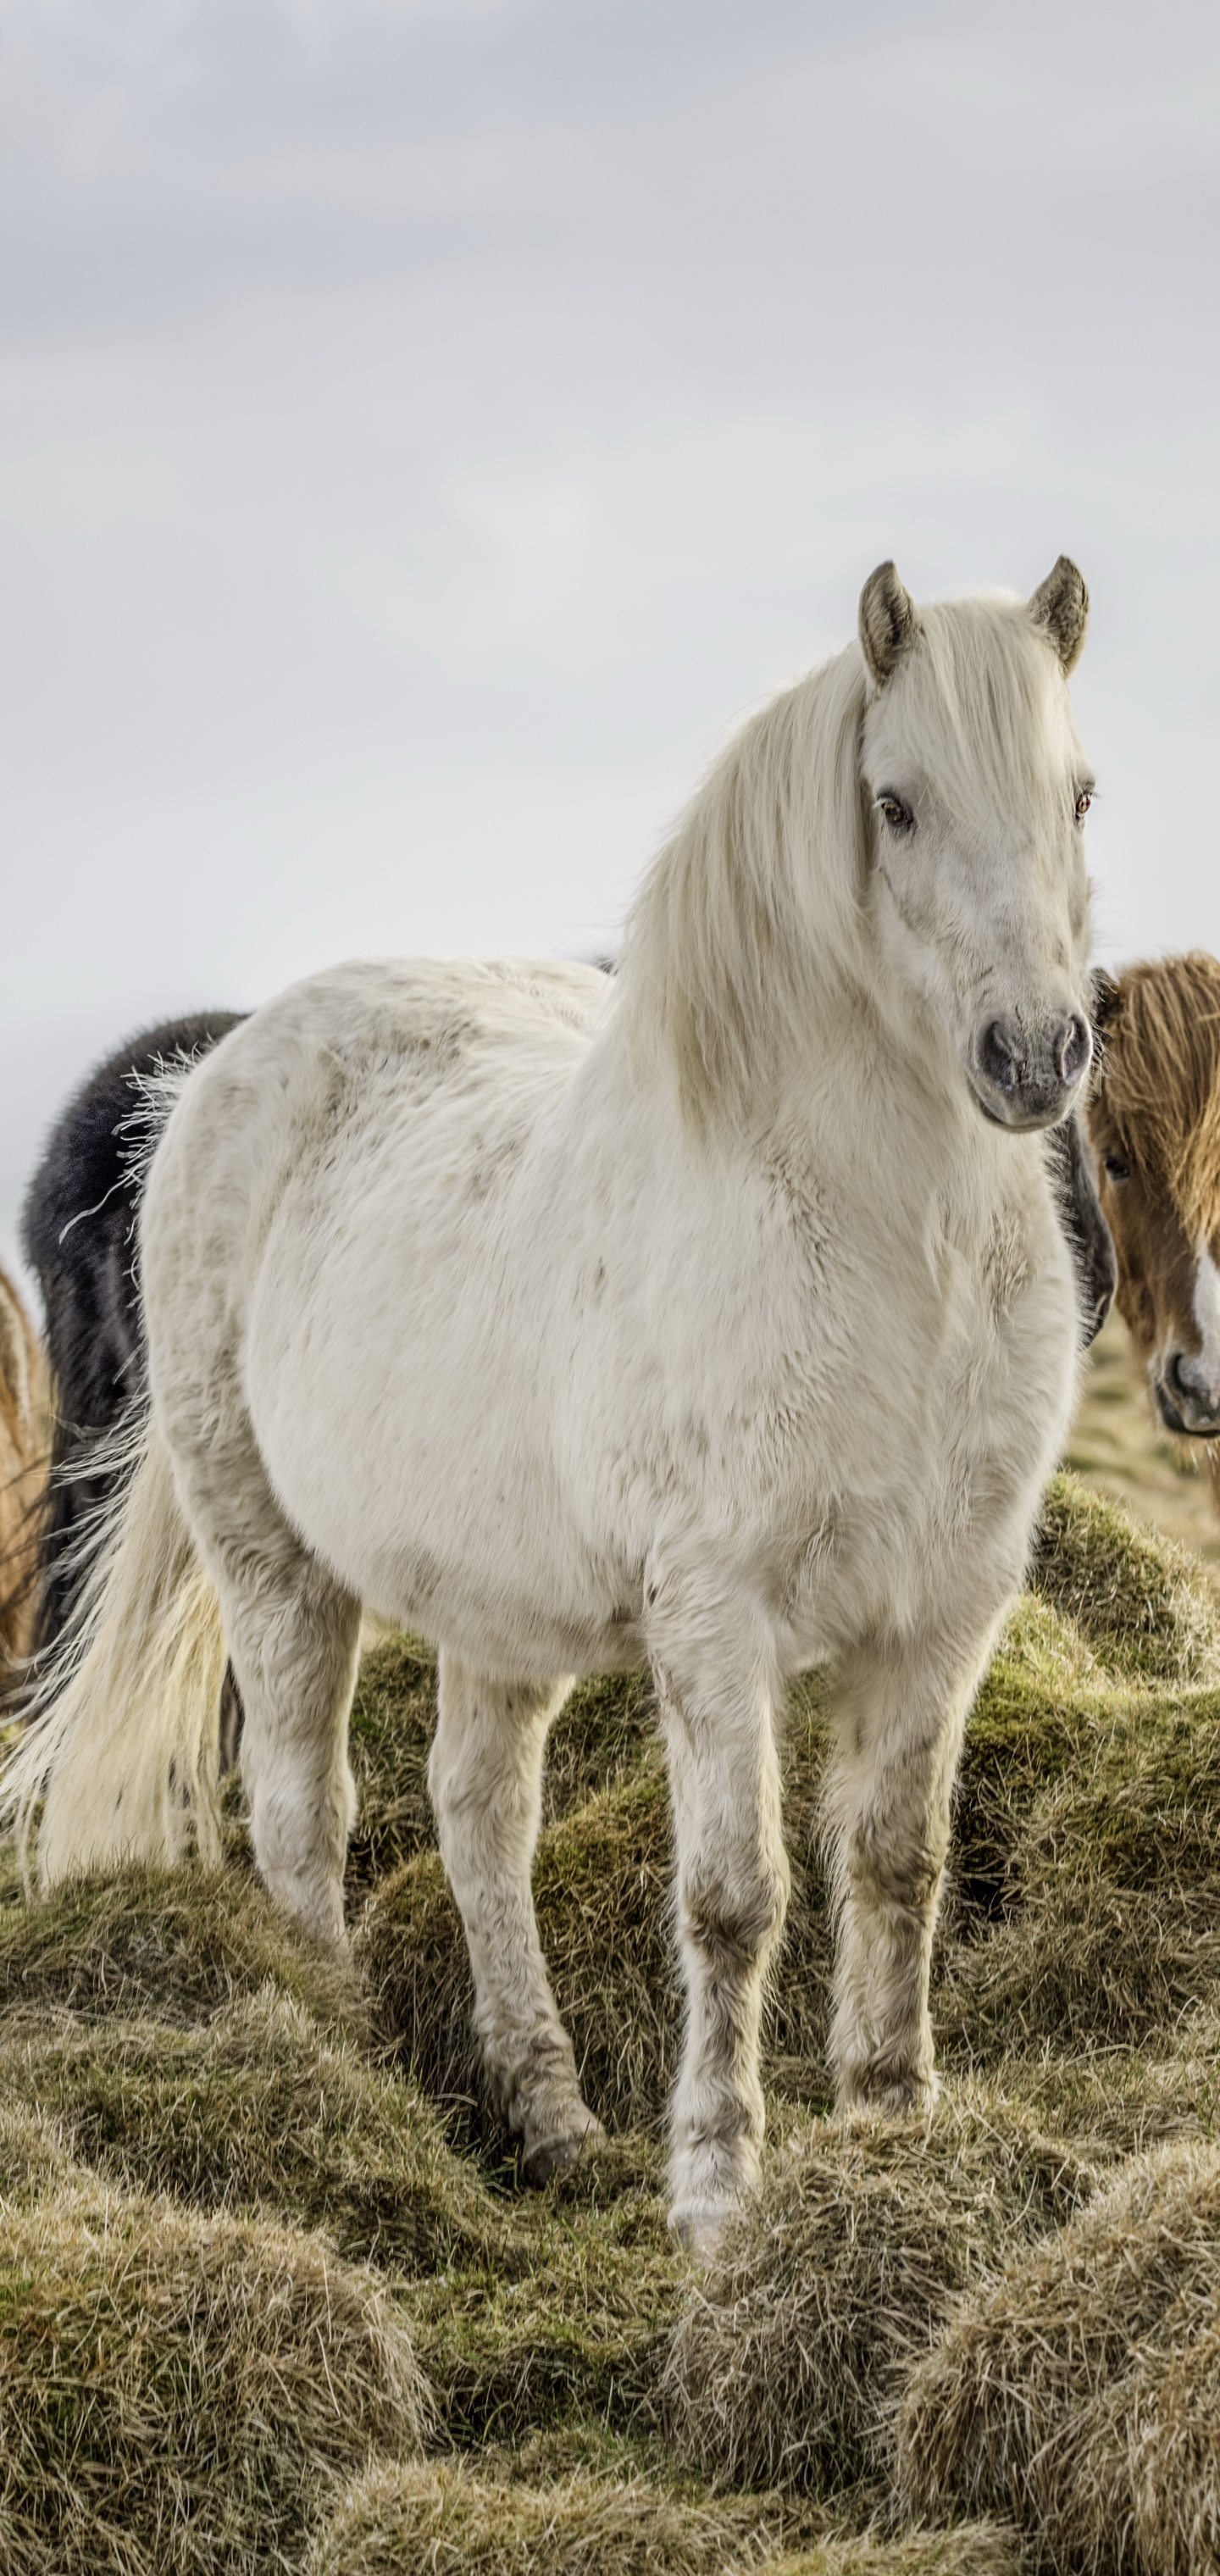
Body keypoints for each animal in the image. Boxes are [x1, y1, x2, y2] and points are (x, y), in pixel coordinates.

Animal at [4, 558, 1096, 2235]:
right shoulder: (716, 1619)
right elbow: (735, 1898)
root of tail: (209, 1078)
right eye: (895, 805)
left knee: (477, 1816)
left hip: (492, 1604)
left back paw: (552, 2114)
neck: (880, 1244)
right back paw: (347, 2068)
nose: (1033, 1057)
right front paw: (716, 2196)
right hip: (273, 1561)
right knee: (302, 1808)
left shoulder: (946, 1612)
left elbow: (895, 1865)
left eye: (1080, 793)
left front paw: (894, 2130)